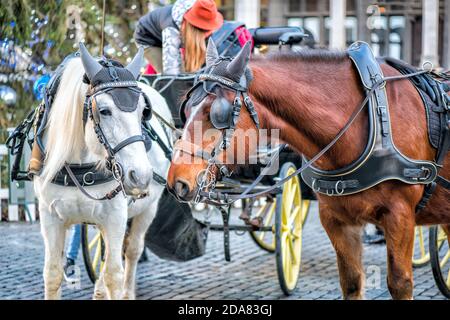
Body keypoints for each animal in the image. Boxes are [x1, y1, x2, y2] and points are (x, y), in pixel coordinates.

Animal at [33, 45, 173, 300]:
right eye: (105, 111)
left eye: (143, 112)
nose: (141, 175)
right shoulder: (49, 217)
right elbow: (53, 274)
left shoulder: (115, 216)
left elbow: (113, 275)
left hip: (148, 208)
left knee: (132, 251)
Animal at [166, 40, 450, 300]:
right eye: (186, 108)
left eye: (215, 114)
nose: (176, 182)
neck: (368, 117)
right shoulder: (336, 220)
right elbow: (351, 282)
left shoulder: (400, 217)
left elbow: (400, 283)